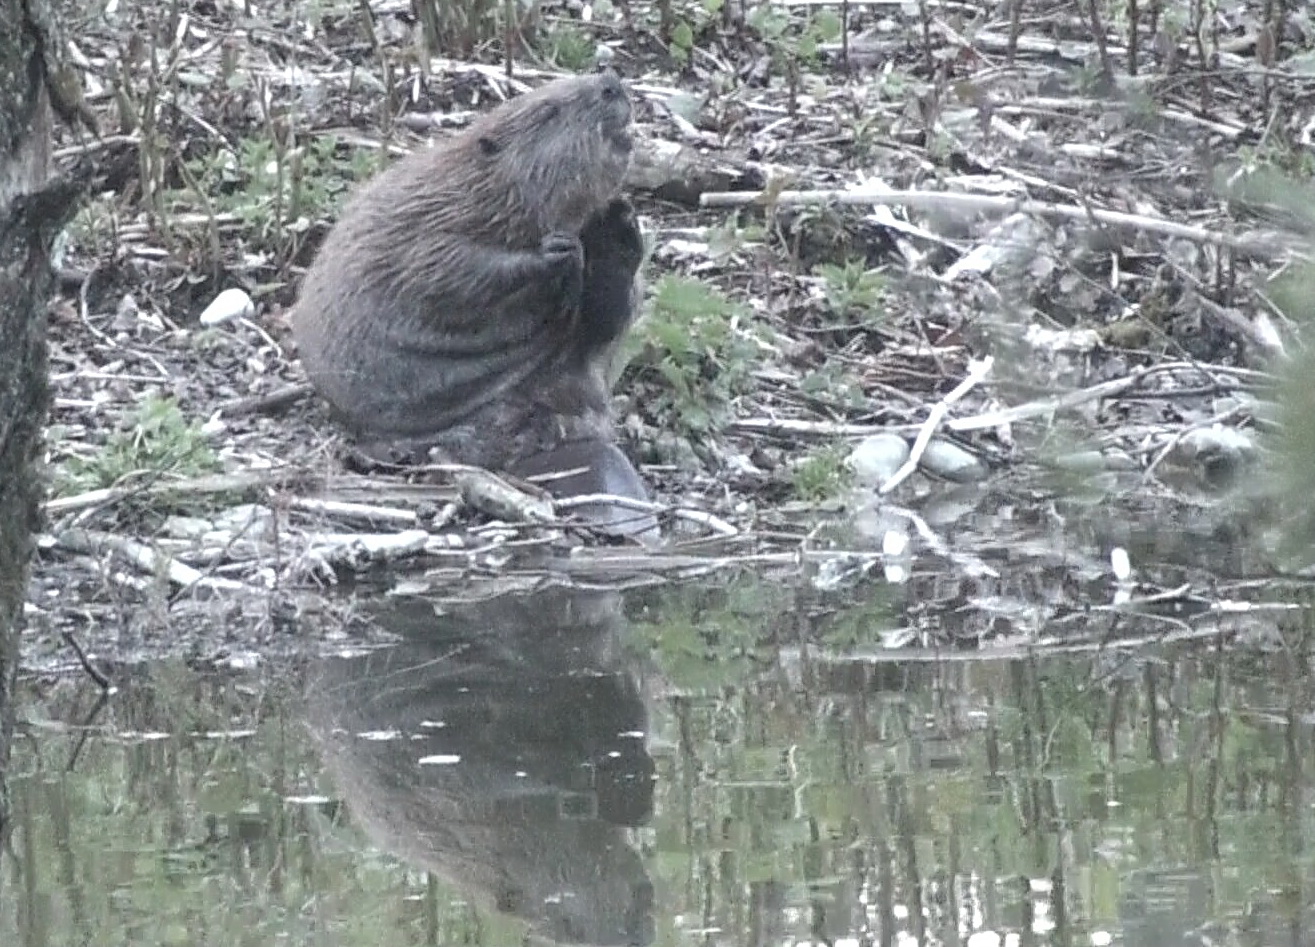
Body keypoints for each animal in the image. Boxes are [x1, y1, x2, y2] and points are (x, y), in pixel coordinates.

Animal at [293, 69, 652, 520]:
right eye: (549, 110)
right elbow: (448, 269)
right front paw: (559, 251)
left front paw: (616, 216)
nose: (611, 82)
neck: (486, 191)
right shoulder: (431, 225)